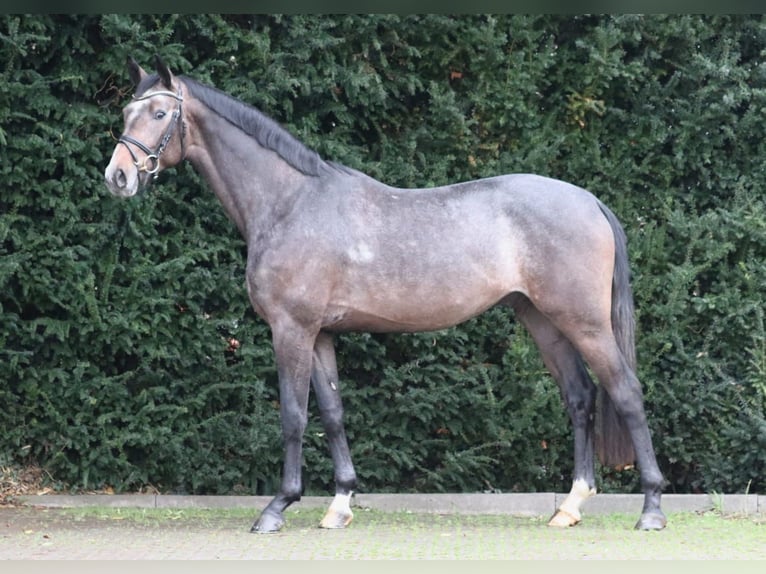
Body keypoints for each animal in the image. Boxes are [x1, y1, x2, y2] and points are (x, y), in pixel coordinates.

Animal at [105, 56, 668, 532]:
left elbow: (293, 415)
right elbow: (332, 414)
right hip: (542, 320)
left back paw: (651, 509)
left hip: (584, 321)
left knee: (625, 391)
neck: (289, 201)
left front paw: (278, 507)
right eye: (127, 111)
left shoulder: (291, 329)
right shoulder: (321, 334)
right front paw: (338, 505)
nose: (118, 176)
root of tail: (589, 200)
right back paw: (570, 506)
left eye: (159, 112)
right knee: (580, 397)